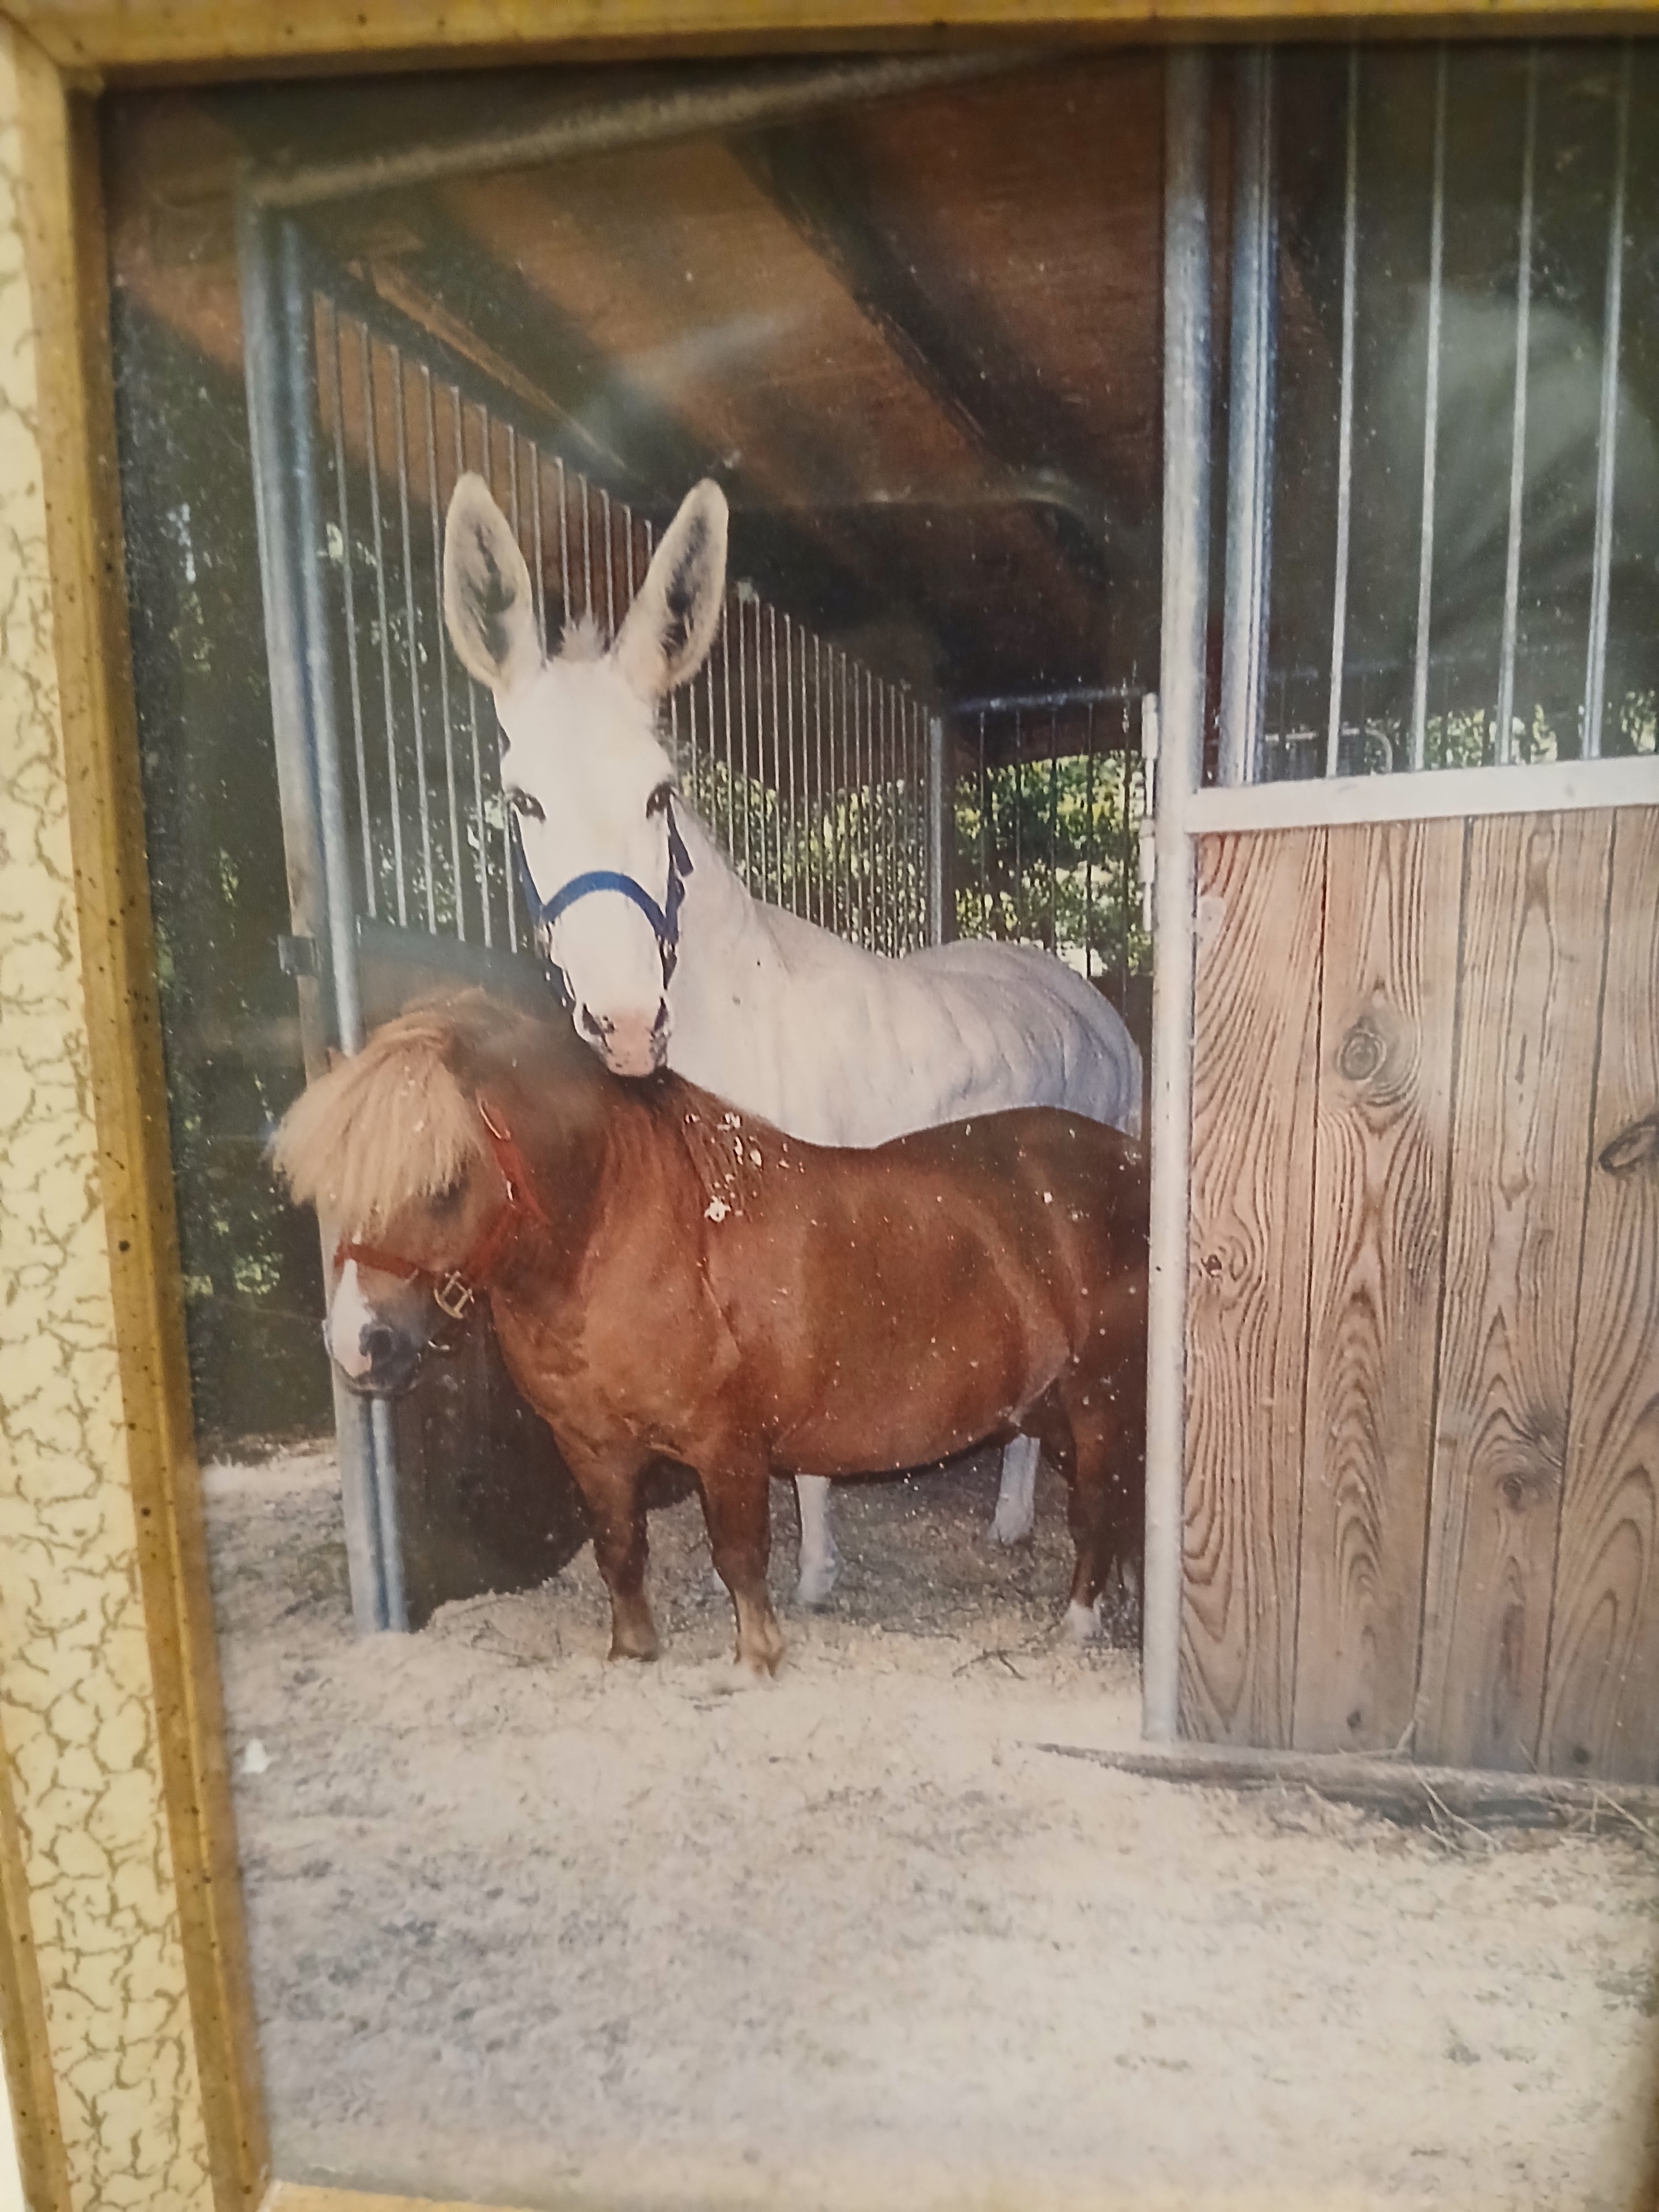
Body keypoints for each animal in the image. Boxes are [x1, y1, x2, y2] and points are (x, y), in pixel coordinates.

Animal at [272, 991, 1148, 1675]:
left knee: (1099, 1510)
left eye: (446, 1183)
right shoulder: (590, 1447)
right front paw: (633, 1653)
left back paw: (1078, 1626)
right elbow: (619, 1549)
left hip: (1100, 1404)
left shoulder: (727, 1446)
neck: (627, 1236)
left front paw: (757, 1660)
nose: (359, 1345)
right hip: (1057, 1410)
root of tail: (1136, 1160)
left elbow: (740, 1556)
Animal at [441, 470, 1145, 1606]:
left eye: (661, 792)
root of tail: (1080, 989)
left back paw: (1012, 1522)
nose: (625, 1022)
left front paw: (812, 1578)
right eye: (524, 800)